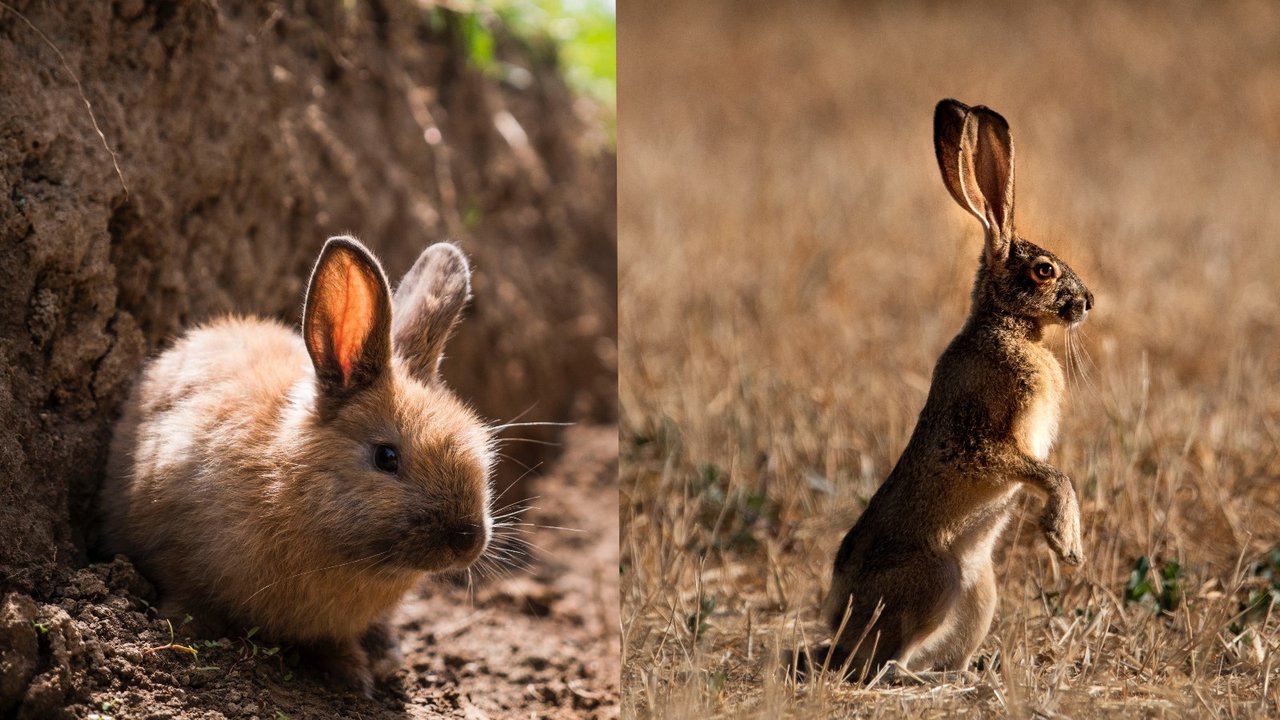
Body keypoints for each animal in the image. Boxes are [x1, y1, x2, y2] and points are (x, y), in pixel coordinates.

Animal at [798, 99, 1090, 676]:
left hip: (982, 590)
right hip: (936, 579)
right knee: (878, 660)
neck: (1005, 325)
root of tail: (838, 621)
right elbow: (1052, 474)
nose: (1088, 301)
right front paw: (1064, 542)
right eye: (1044, 270)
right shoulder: (980, 440)